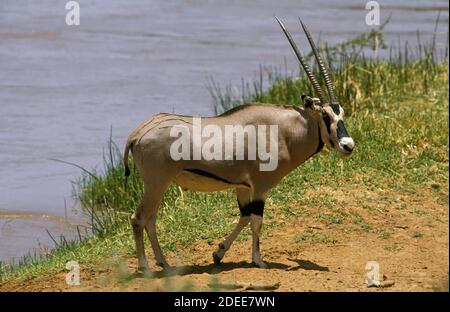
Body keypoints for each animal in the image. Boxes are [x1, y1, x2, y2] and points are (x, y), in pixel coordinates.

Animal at [123, 17, 356, 272]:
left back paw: (164, 263)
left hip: (158, 185)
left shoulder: (243, 187)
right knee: (139, 218)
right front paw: (258, 260)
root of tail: (137, 133)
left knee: (150, 219)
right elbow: (256, 221)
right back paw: (146, 267)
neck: (283, 131)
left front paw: (218, 253)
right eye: (325, 116)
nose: (348, 145)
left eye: (341, 114)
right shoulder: (261, 186)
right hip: (156, 183)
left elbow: (244, 217)